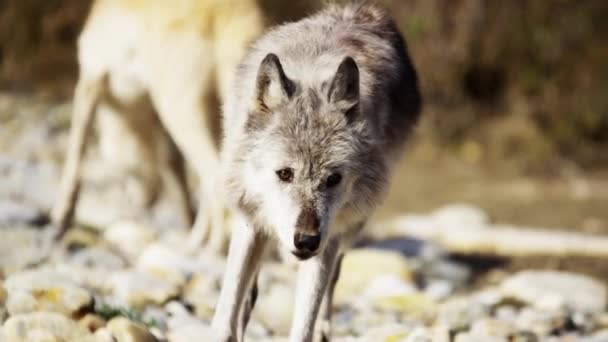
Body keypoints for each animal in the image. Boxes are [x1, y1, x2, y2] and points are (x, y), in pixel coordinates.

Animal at [50, 0, 264, 251]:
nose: (141, 201)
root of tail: (231, 15)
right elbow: (173, 164)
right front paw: (187, 221)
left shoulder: (91, 78)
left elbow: (76, 149)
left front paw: (62, 218)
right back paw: (197, 241)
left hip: (180, 110)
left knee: (216, 180)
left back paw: (211, 249)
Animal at [213, 3, 418, 342]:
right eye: (284, 174)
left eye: (333, 178)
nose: (306, 241)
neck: (311, 73)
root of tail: (363, 10)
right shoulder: (249, 218)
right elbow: (227, 312)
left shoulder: (329, 237)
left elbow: (304, 324)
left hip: (351, 227)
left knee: (333, 279)